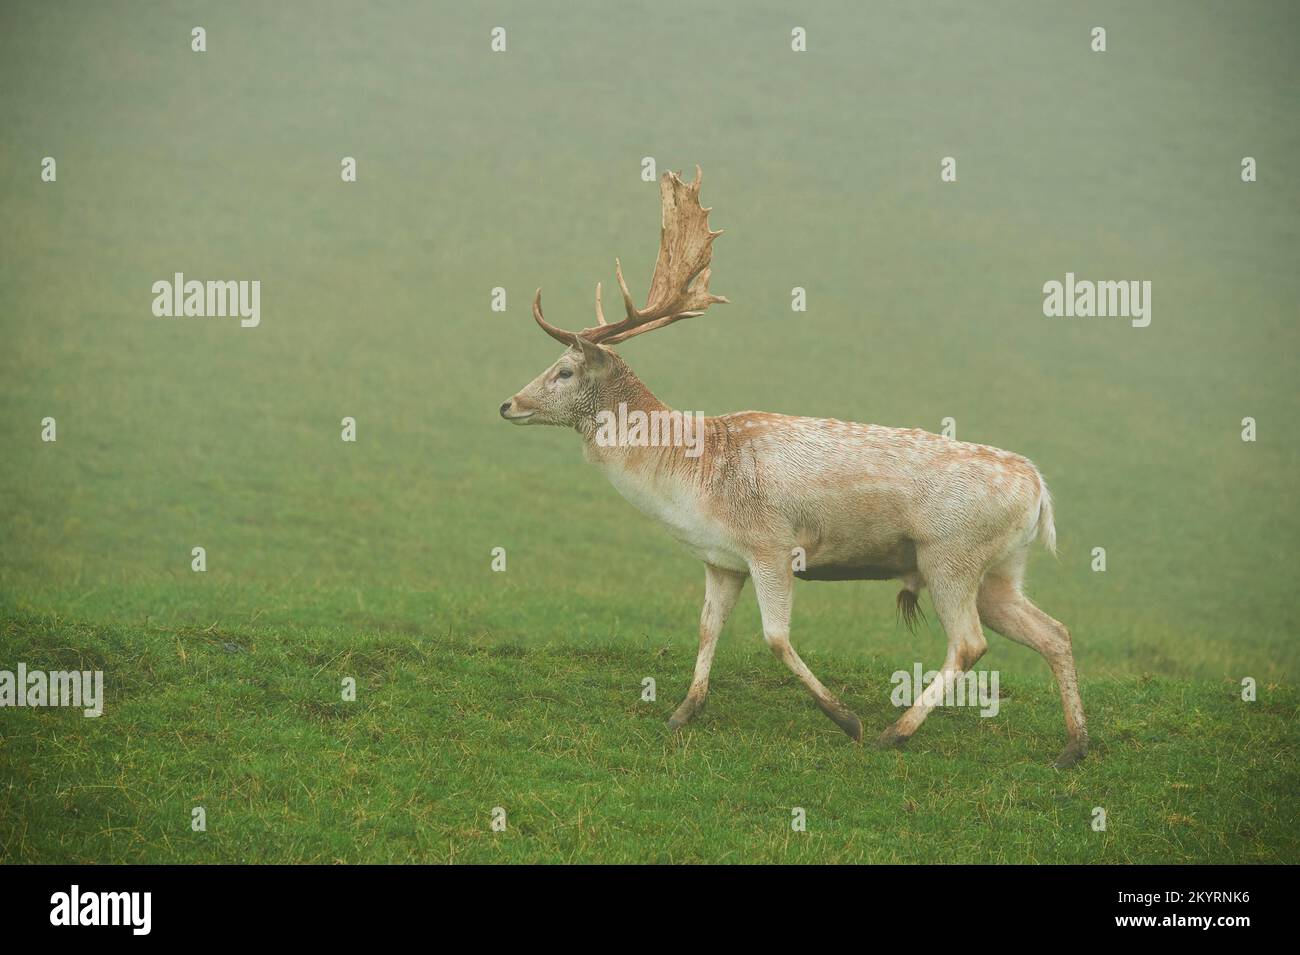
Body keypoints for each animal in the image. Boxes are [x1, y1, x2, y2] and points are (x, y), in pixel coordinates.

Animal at [501, 167, 1092, 774]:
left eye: (564, 371)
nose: (508, 404)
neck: (691, 477)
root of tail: (1039, 490)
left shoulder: (771, 545)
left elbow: (776, 637)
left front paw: (846, 719)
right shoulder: (722, 561)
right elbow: (707, 627)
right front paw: (683, 712)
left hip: (950, 555)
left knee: (971, 643)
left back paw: (895, 732)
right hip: (1001, 570)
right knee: (1054, 632)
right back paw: (1073, 746)